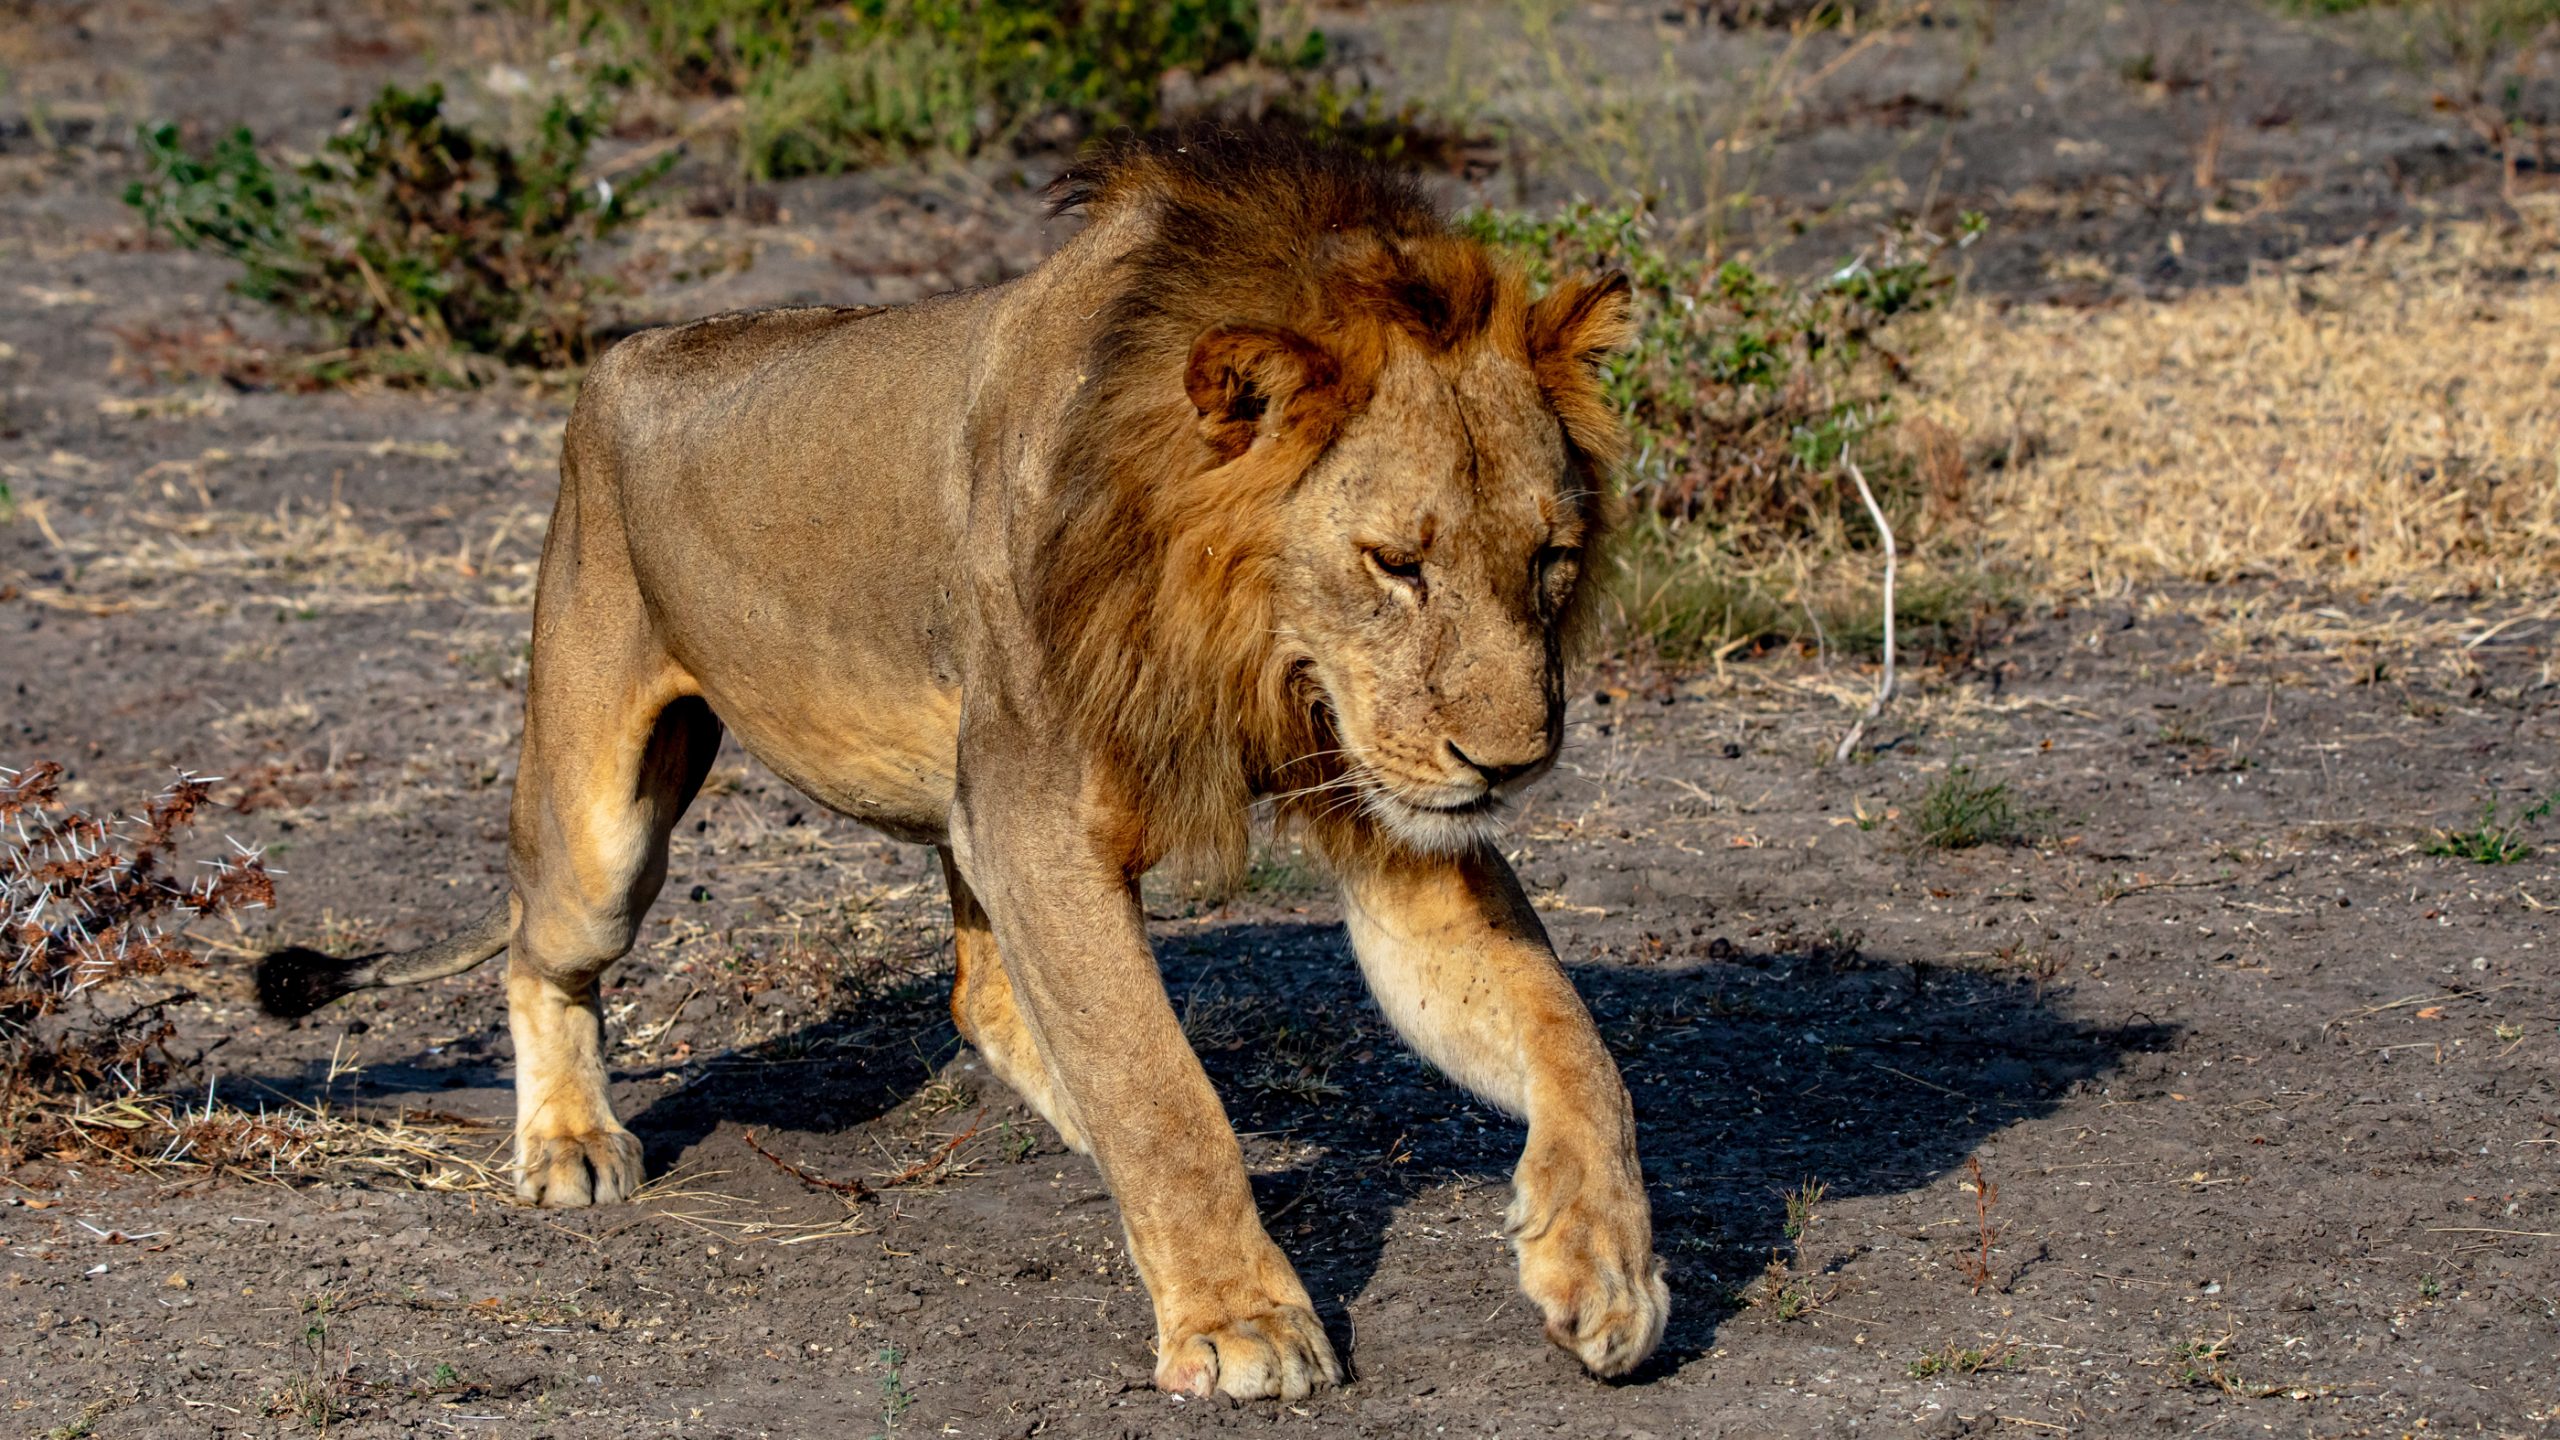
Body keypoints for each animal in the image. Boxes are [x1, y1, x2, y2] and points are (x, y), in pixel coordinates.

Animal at [257, 125, 1667, 1399]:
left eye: (1548, 559)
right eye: (1395, 562)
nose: (1514, 764)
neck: (1248, 648)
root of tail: (620, 356)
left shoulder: (1383, 809)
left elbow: (1569, 1034)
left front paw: (1604, 1265)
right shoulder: (1039, 812)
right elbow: (1158, 1089)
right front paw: (1239, 1323)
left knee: (987, 998)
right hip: (609, 820)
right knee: (535, 943)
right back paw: (566, 1144)